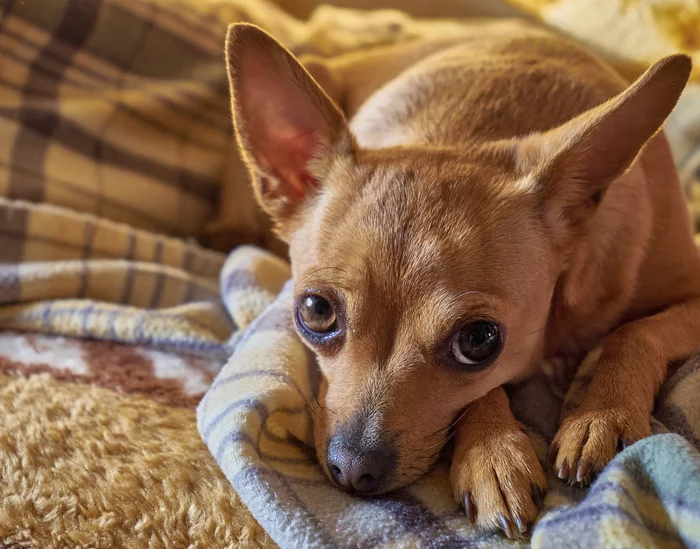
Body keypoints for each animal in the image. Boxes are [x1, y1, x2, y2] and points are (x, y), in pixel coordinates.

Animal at [224, 19, 700, 536]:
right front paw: (493, 453)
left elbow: (632, 333)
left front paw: (603, 414)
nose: (352, 468)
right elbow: (487, 391)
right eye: (315, 311)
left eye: (478, 340)